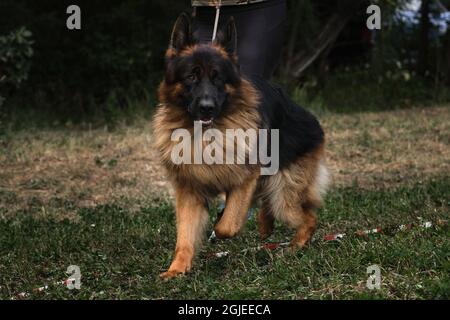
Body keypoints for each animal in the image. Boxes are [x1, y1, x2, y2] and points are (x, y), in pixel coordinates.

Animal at [153, 14, 328, 280]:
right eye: (191, 77)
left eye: (218, 78)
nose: (207, 108)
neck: (206, 135)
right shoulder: (190, 190)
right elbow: (184, 236)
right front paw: (177, 268)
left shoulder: (244, 180)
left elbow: (226, 226)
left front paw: (220, 227)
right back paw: (267, 225)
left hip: (283, 194)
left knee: (307, 217)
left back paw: (294, 246)